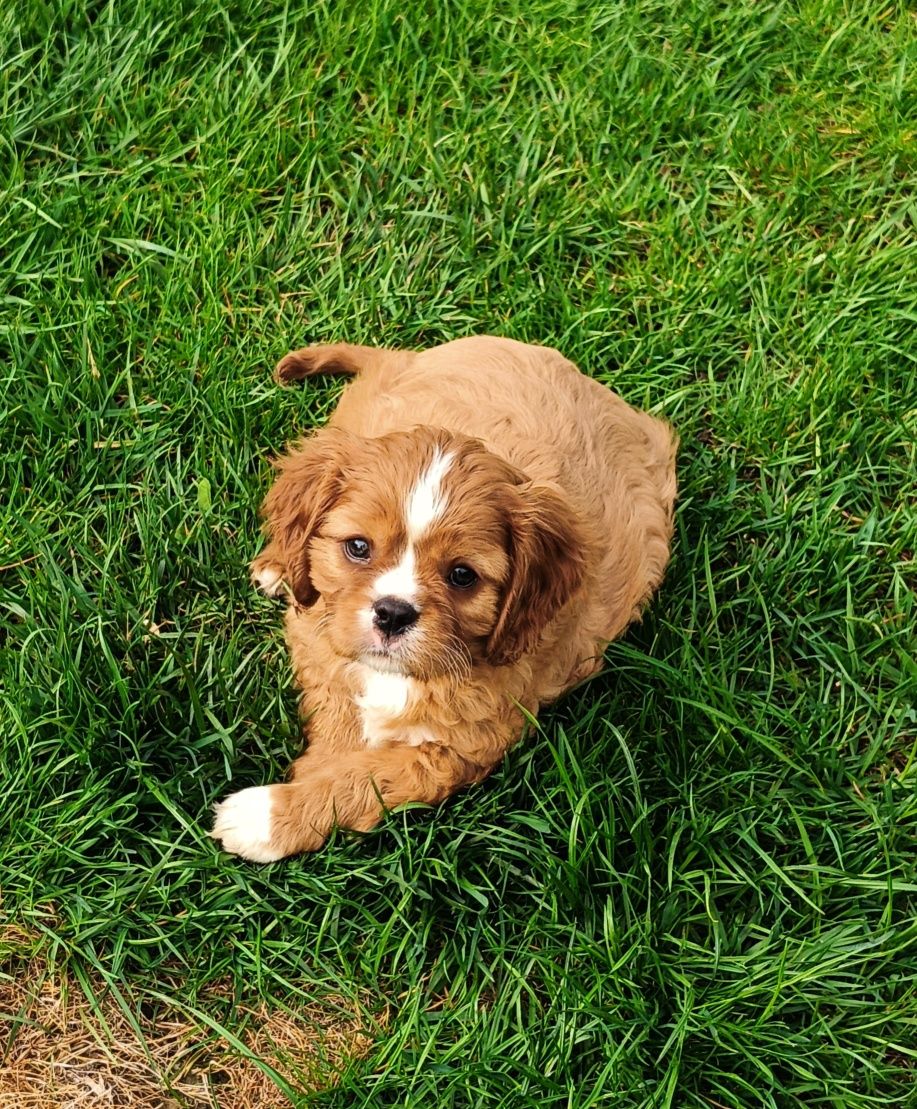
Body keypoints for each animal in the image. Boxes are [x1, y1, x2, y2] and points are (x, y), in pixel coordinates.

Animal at [212, 332, 674, 860]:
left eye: (462, 576)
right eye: (358, 547)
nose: (392, 614)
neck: (397, 676)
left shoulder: (458, 748)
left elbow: (368, 776)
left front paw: (271, 816)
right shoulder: (324, 646)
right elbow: (340, 715)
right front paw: (308, 781)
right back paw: (278, 565)